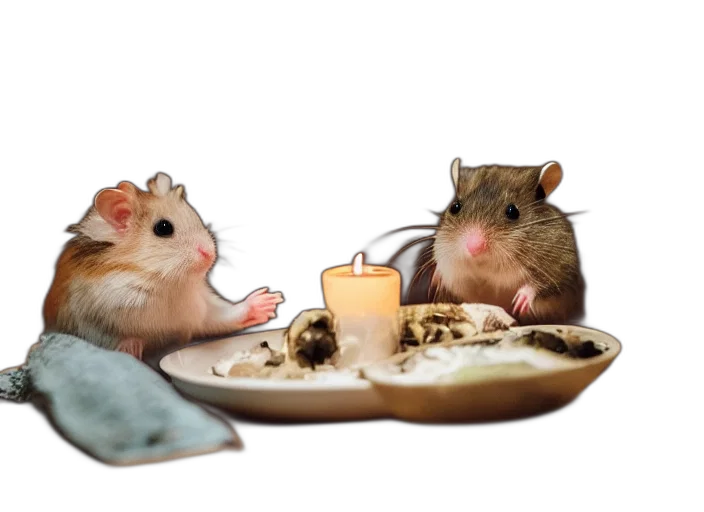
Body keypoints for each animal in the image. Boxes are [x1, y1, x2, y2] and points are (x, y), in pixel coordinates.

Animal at [42, 172, 284, 366]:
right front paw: (132, 348)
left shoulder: (199, 310)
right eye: (163, 228)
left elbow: (224, 315)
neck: (163, 281)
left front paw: (267, 302)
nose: (210, 254)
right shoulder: (88, 319)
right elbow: (111, 338)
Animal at [429, 158, 585, 326]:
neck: (483, 265)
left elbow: (539, 285)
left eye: (513, 211)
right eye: (455, 207)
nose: (473, 248)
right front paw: (435, 280)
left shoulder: (559, 268)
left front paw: (519, 302)